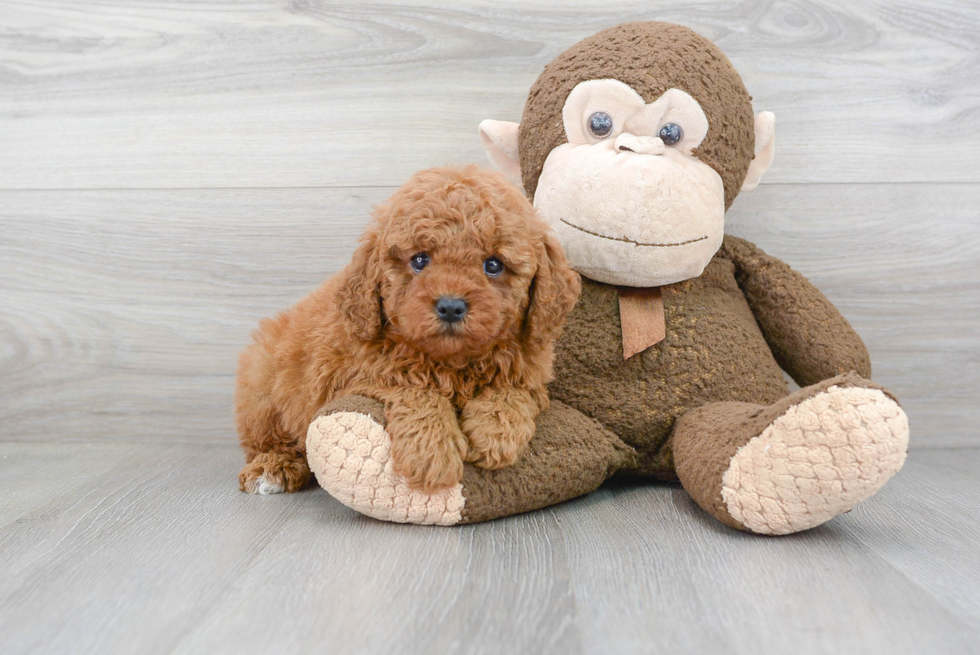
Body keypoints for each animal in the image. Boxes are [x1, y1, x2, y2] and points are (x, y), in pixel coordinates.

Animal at [234, 167, 580, 494]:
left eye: (493, 265)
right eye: (419, 260)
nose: (450, 306)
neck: (454, 362)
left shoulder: (532, 375)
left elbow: (511, 391)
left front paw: (496, 434)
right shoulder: (356, 376)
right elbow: (415, 390)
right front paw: (432, 454)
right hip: (261, 387)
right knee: (268, 441)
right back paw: (273, 468)